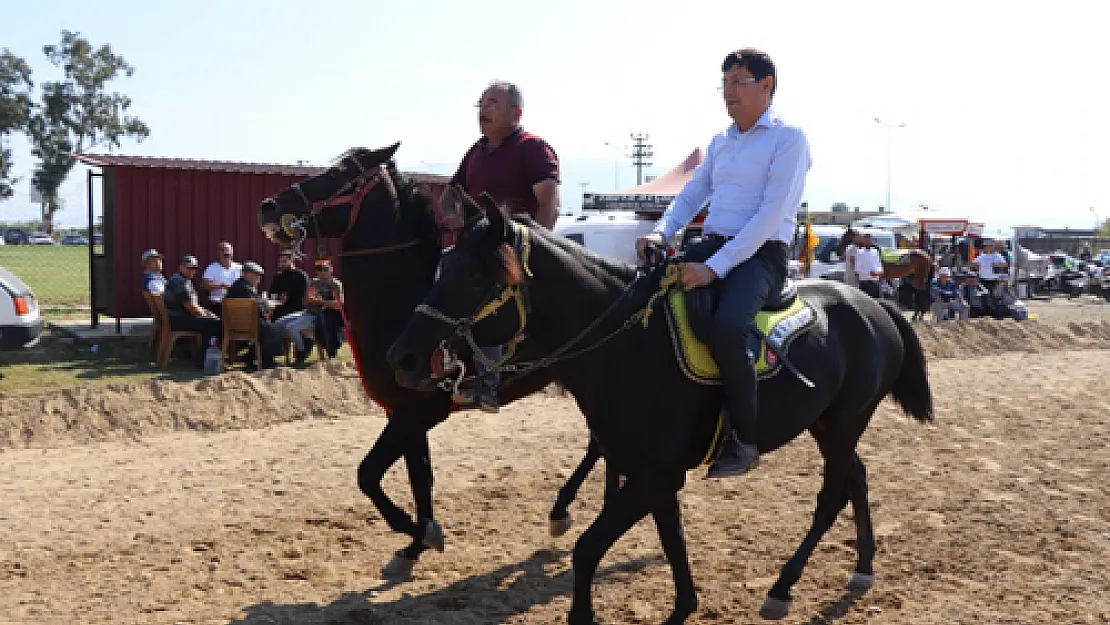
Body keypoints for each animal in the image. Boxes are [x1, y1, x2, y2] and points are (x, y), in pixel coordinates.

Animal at [256, 142, 608, 577]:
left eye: (338, 174)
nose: (269, 206)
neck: (401, 300)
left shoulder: (421, 409)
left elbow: (368, 474)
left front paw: (419, 531)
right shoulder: (401, 411)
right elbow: (418, 477)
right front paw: (415, 544)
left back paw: (562, 511)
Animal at [386, 193, 932, 621]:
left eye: (477, 273)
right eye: (444, 264)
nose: (404, 357)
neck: (629, 345)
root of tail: (875, 304)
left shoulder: (655, 474)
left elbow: (588, 550)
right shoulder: (650, 474)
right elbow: (672, 542)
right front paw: (683, 607)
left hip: (843, 422)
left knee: (831, 495)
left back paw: (783, 588)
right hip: (828, 424)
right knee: (856, 477)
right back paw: (863, 568)